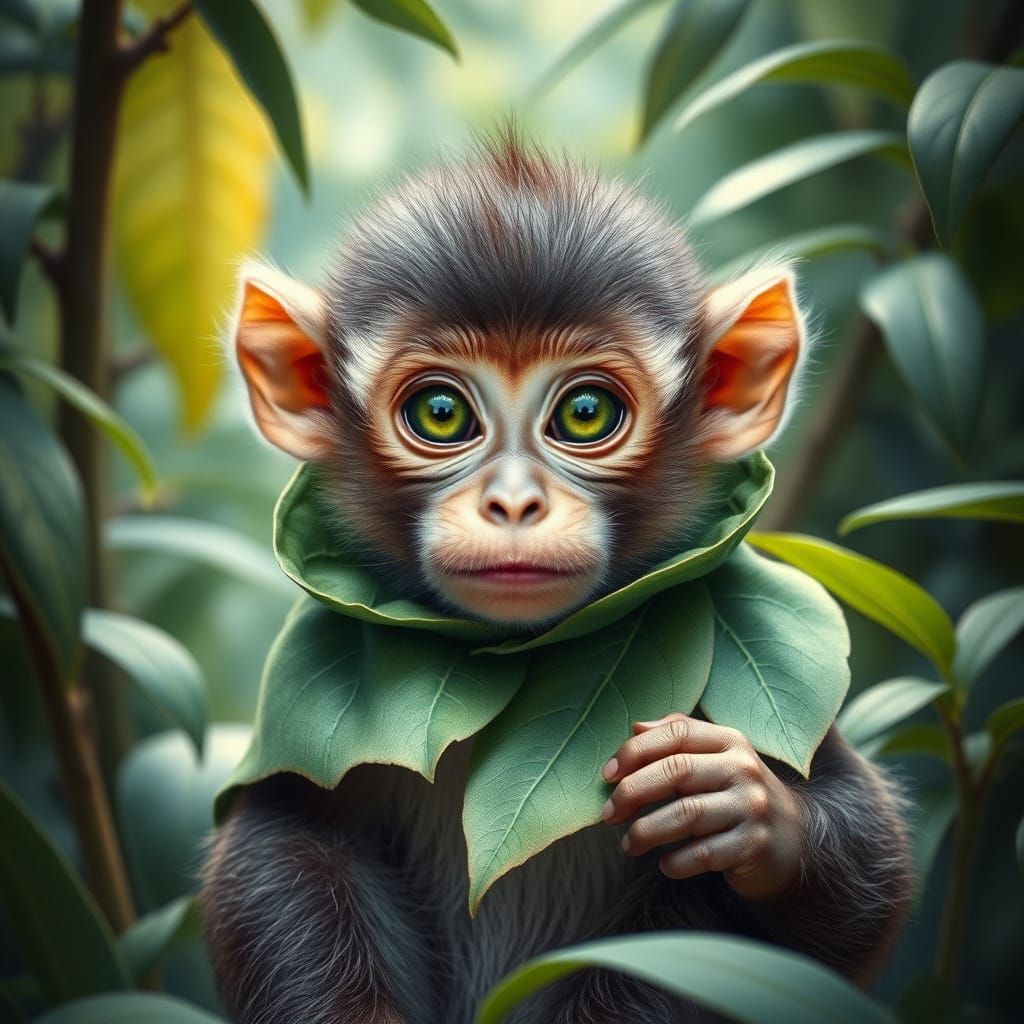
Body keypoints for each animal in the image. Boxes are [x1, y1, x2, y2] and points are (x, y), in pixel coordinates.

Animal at [201, 134, 912, 1024]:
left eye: (584, 413)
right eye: (441, 413)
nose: (513, 503)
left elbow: (862, 891)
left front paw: (740, 801)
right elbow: (278, 842)